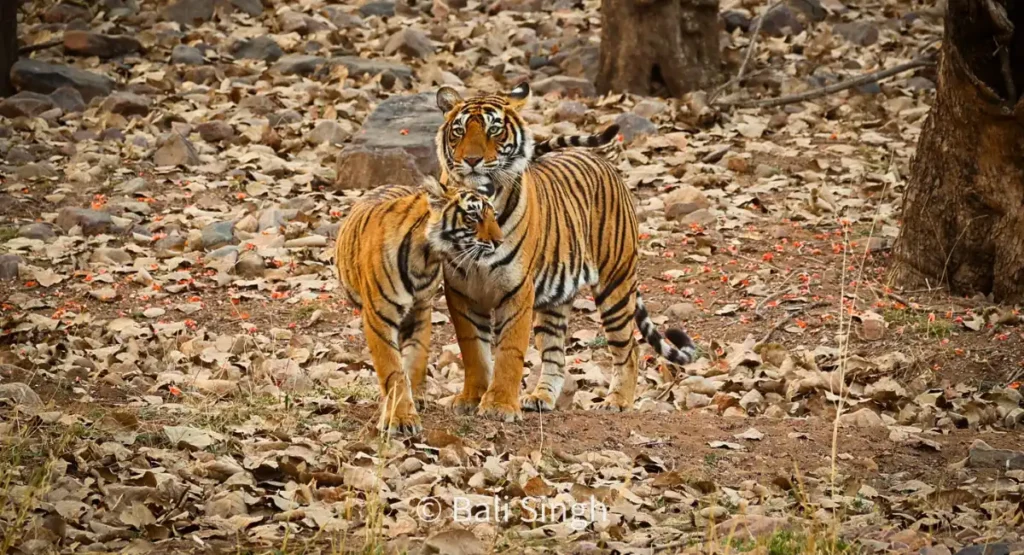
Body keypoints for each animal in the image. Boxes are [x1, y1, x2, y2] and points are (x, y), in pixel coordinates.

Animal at [334, 179, 503, 435]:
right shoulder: (379, 318)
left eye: (494, 216)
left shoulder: (421, 311)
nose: (500, 242)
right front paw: (402, 417)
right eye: (473, 216)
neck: (426, 256)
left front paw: (412, 400)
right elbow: (392, 370)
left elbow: (415, 358)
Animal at [433, 83, 698, 422]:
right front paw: (471, 398)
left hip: (615, 285)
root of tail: (604, 163)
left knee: (629, 348)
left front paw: (499, 405)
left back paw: (617, 401)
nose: (472, 160)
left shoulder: (516, 290)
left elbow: (509, 351)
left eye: (494, 130)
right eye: (459, 130)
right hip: (555, 300)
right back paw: (540, 397)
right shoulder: (460, 289)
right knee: (556, 353)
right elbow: (474, 350)